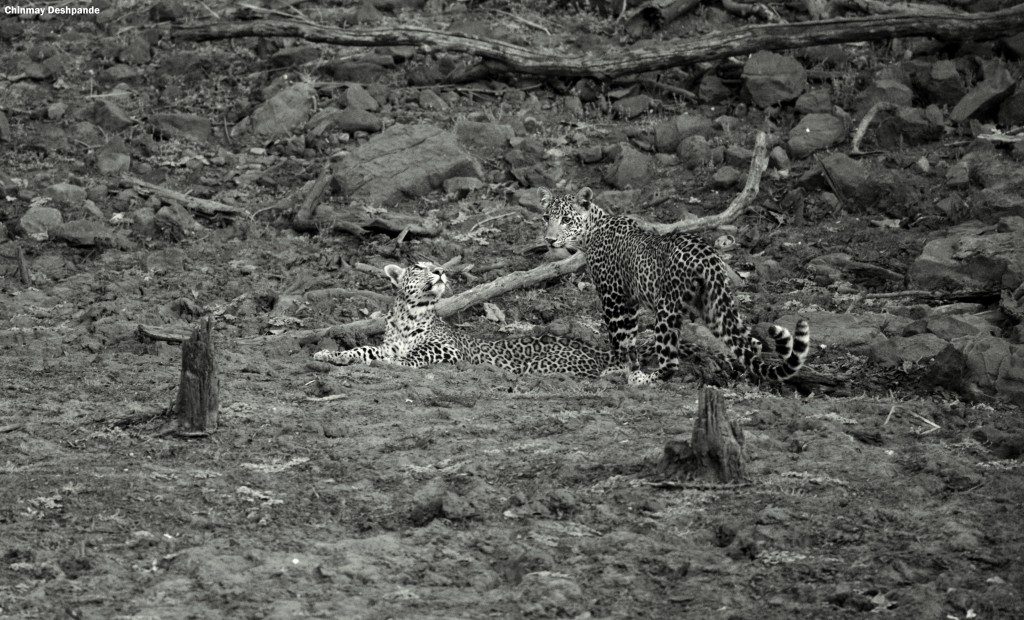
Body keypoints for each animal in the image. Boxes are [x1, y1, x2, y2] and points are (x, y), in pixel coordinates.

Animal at [309, 260, 614, 373]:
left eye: (434, 264)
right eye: (419, 267)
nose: (441, 270)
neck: (410, 314)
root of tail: (597, 350)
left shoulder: (447, 348)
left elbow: (415, 354)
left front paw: (394, 365)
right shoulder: (387, 346)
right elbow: (363, 349)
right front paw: (329, 355)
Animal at [540, 186, 811, 385]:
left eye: (566, 219)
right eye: (546, 218)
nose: (549, 239)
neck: (591, 232)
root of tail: (709, 256)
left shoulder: (614, 298)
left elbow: (619, 338)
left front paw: (618, 369)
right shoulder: (630, 301)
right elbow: (629, 338)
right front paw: (627, 366)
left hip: (667, 309)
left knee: (671, 362)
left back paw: (645, 380)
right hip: (714, 306)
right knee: (749, 343)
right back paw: (745, 374)